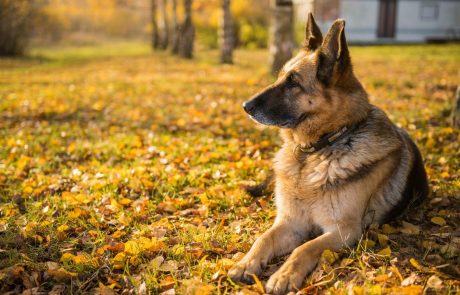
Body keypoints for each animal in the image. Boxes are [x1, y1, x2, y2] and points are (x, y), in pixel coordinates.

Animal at [228, 13, 430, 294]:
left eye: (293, 82)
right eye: (280, 77)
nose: (245, 106)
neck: (317, 151)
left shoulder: (344, 230)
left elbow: (305, 248)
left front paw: (284, 275)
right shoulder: (291, 221)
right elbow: (263, 238)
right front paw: (245, 264)